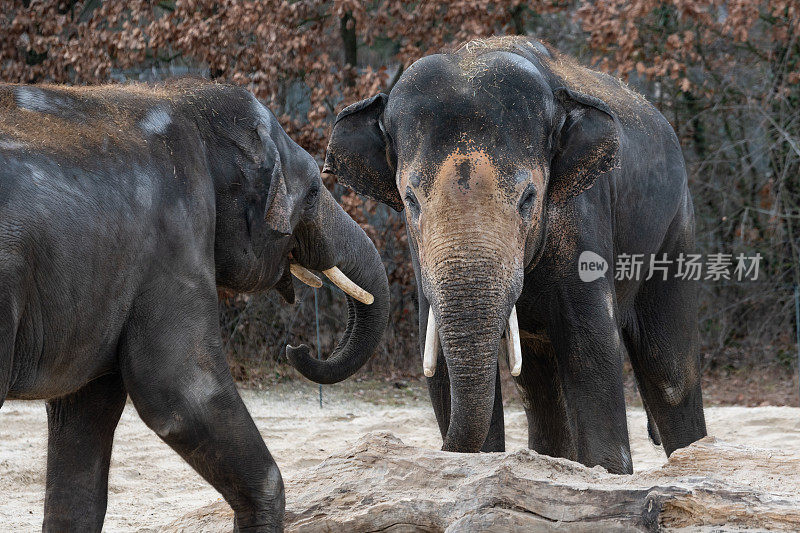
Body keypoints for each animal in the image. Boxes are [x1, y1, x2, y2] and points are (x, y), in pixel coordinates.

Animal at [0, 80, 390, 532]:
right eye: (312, 192)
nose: (298, 348)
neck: (180, 99)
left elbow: (84, 418)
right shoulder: (175, 238)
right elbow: (181, 390)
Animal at [322, 35, 708, 472]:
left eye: (528, 199)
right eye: (410, 200)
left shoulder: (583, 217)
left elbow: (591, 348)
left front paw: (604, 471)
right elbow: (442, 369)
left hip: (676, 227)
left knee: (670, 371)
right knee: (540, 384)